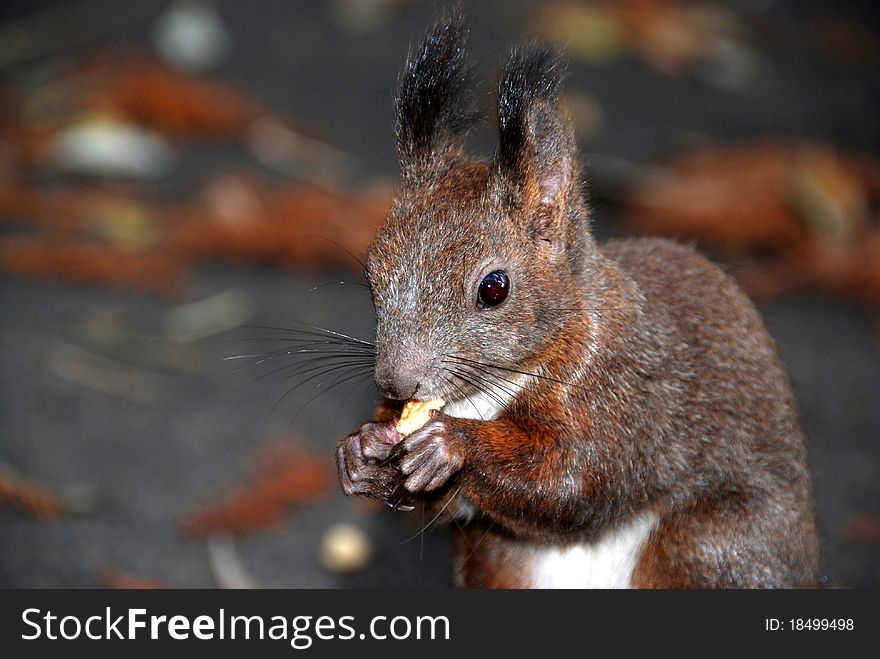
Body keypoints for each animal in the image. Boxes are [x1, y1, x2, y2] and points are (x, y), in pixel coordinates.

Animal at [336, 10, 820, 588]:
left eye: (493, 288)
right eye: (371, 274)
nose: (396, 382)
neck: (490, 391)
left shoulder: (626, 392)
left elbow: (576, 481)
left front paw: (450, 445)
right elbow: (453, 505)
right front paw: (361, 449)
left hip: (712, 546)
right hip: (495, 558)